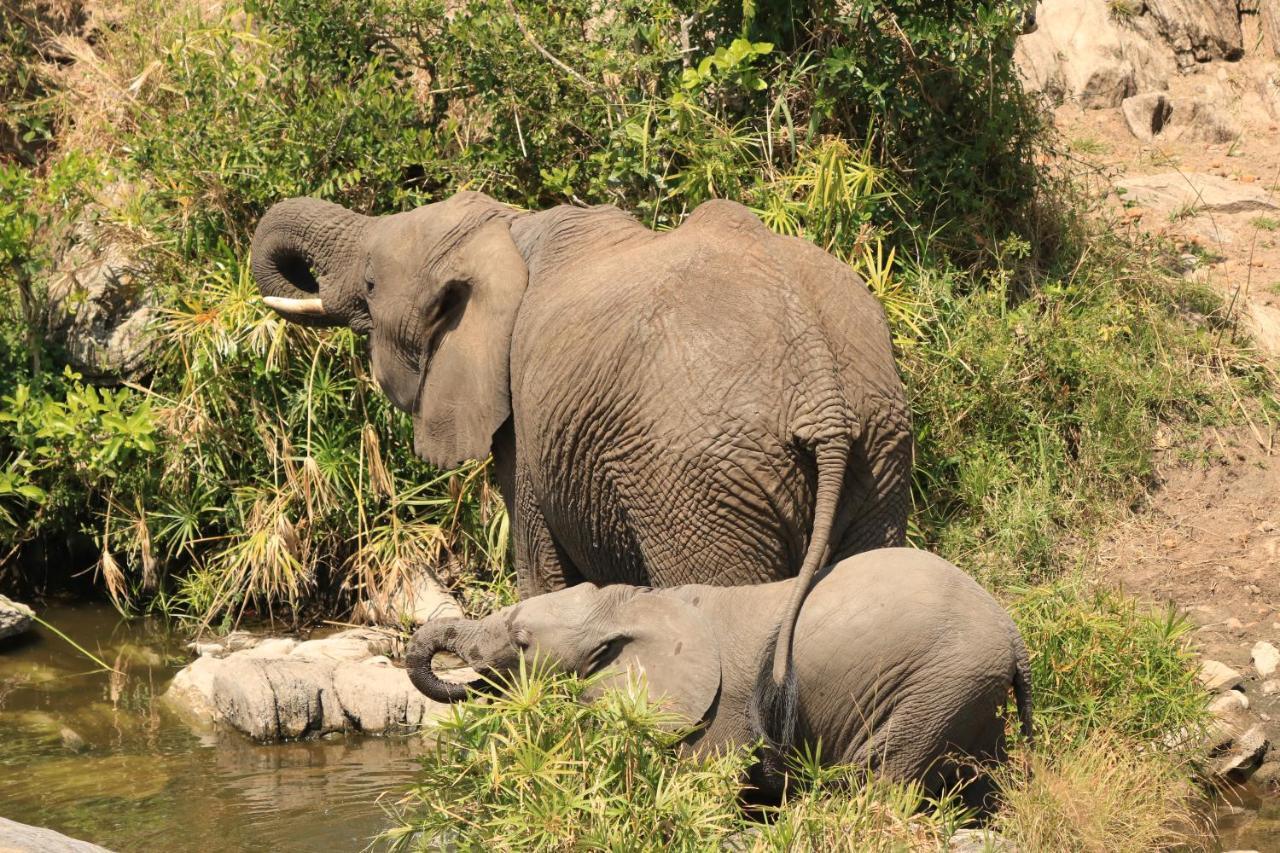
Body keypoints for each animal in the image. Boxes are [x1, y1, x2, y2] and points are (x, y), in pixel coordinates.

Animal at [249, 192, 911, 696]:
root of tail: (819, 384)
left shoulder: (526, 418)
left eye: (369, 282)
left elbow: (538, 564)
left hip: (699, 480)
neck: (503, 226)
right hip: (878, 446)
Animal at [409, 548, 1029, 799]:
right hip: (966, 690)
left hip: (940, 682)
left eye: (522, 642)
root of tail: (1014, 634)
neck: (632, 604)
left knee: (881, 776)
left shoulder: (721, 709)